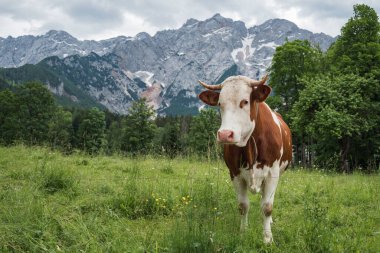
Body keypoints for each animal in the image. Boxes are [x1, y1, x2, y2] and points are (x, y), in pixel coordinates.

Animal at [197, 74, 292, 243]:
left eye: (245, 101)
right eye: (220, 103)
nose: (225, 134)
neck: (250, 147)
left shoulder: (272, 174)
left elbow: (267, 207)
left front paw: (267, 238)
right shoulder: (235, 174)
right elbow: (243, 206)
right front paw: (243, 232)